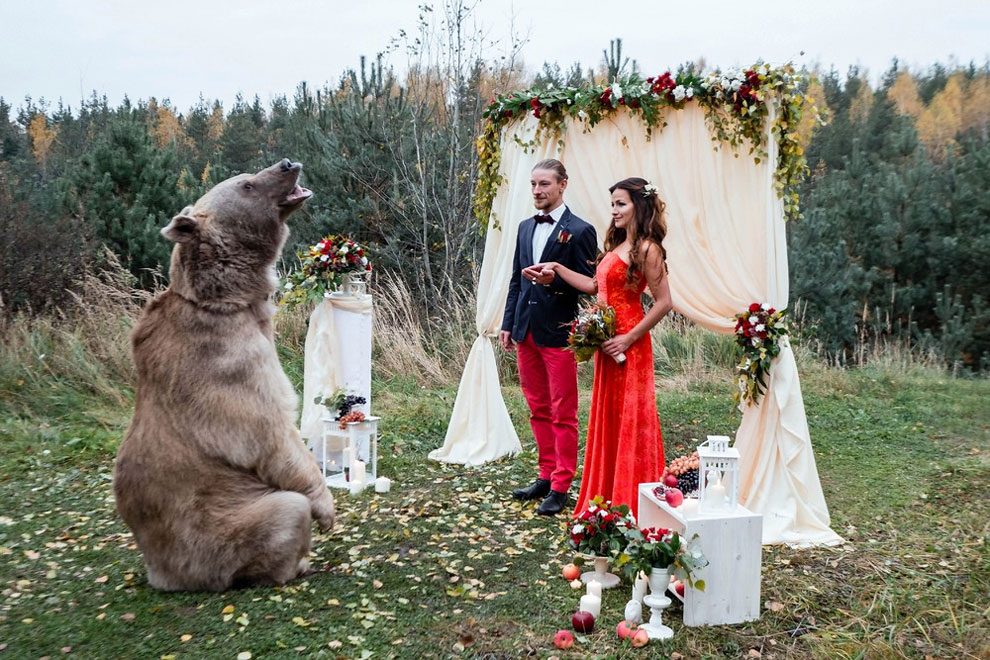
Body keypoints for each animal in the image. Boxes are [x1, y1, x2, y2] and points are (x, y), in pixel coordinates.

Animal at [114, 160, 336, 592]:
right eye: (247, 184)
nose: (287, 164)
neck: (232, 301)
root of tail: (165, 574)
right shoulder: (231, 365)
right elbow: (274, 432)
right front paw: (327, 508)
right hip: (222, 529)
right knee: (285, 512)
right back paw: (298, 563)